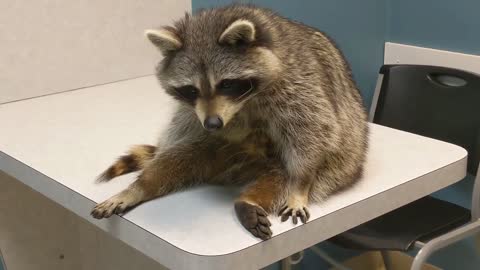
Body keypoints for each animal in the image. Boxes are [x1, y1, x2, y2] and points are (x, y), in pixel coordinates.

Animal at [90, 4, 368, 240]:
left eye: (226, 84)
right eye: (191, 90)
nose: (213, 124)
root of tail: (242, 171)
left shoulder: (299, 84)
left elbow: (312, 132)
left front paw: (300, 184)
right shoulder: (193, 114)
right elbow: (179, 135)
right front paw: (143, 182)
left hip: (339, 166)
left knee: (284, 175)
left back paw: (251, 200)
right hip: (216, 152)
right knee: (183, 153)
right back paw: (142, 186)